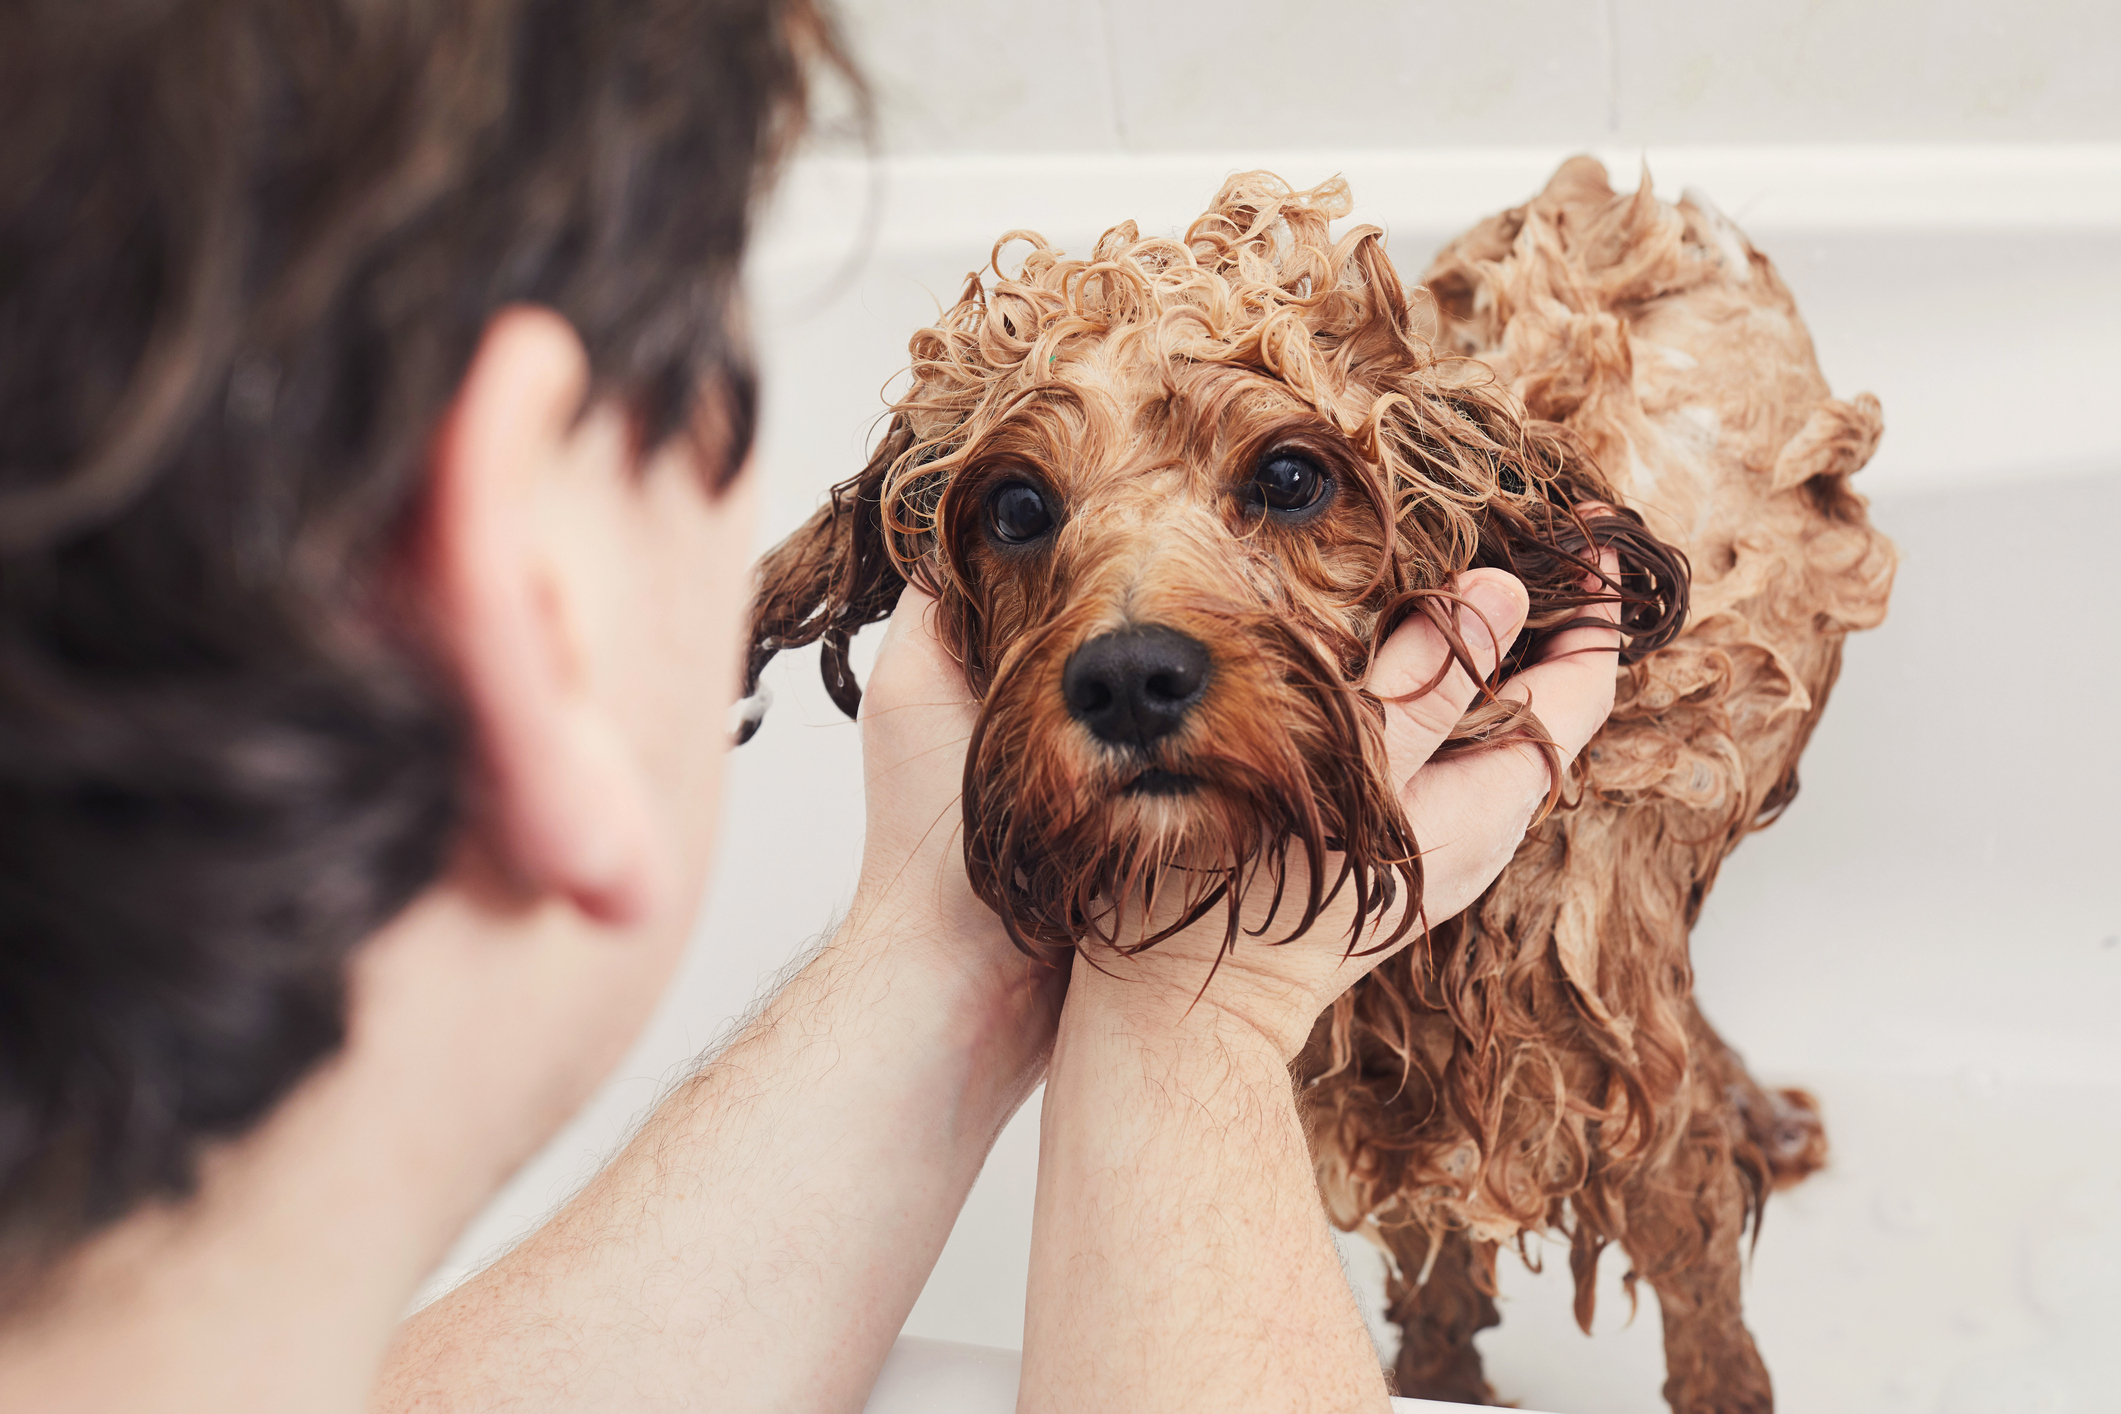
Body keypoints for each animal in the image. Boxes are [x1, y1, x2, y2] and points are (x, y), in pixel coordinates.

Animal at [742, 160, 1891, 1407]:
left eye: (1290, 477)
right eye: (1015, 508)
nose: (1130, 679)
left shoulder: (1646, 1133)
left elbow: (1705, 1311)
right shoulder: (1398, 1129)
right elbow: (1440, 1294)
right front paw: (1443, 1379)